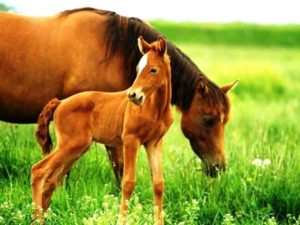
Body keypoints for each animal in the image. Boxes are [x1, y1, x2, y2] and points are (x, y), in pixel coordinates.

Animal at [31, 36, 172, 224]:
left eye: (153, 69)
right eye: (137, 69)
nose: (132, 95)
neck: (156, 109)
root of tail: (60, 102)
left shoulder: (154, 143)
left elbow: (158, 184)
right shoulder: (130, 140)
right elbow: (127, 183)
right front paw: (121, 221)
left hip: (77, 148)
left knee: (51, 180)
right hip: (70, 145)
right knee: (38, 171)